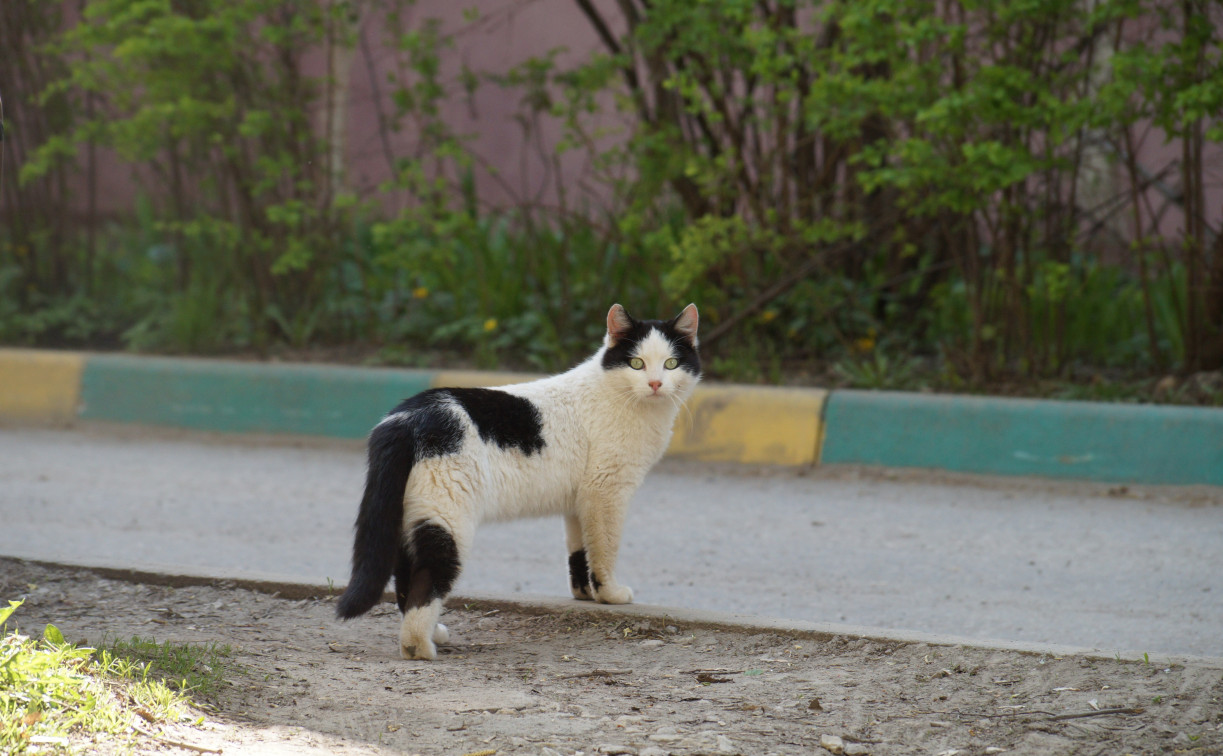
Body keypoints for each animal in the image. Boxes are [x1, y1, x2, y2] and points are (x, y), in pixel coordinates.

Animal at [337, 303, 699, 655]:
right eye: (636, 363)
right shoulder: (606, 492)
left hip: (409, 518)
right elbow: (604, 548)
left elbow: (579, 549)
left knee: (404, 577)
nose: (655, 384)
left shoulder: (580, 500)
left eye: (671, 363)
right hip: (446, 520)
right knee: (427, 575)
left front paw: (584, 592)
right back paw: (419, 647)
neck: (617, 394)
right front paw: (609, 593)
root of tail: (406, 416)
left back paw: (433, 633)